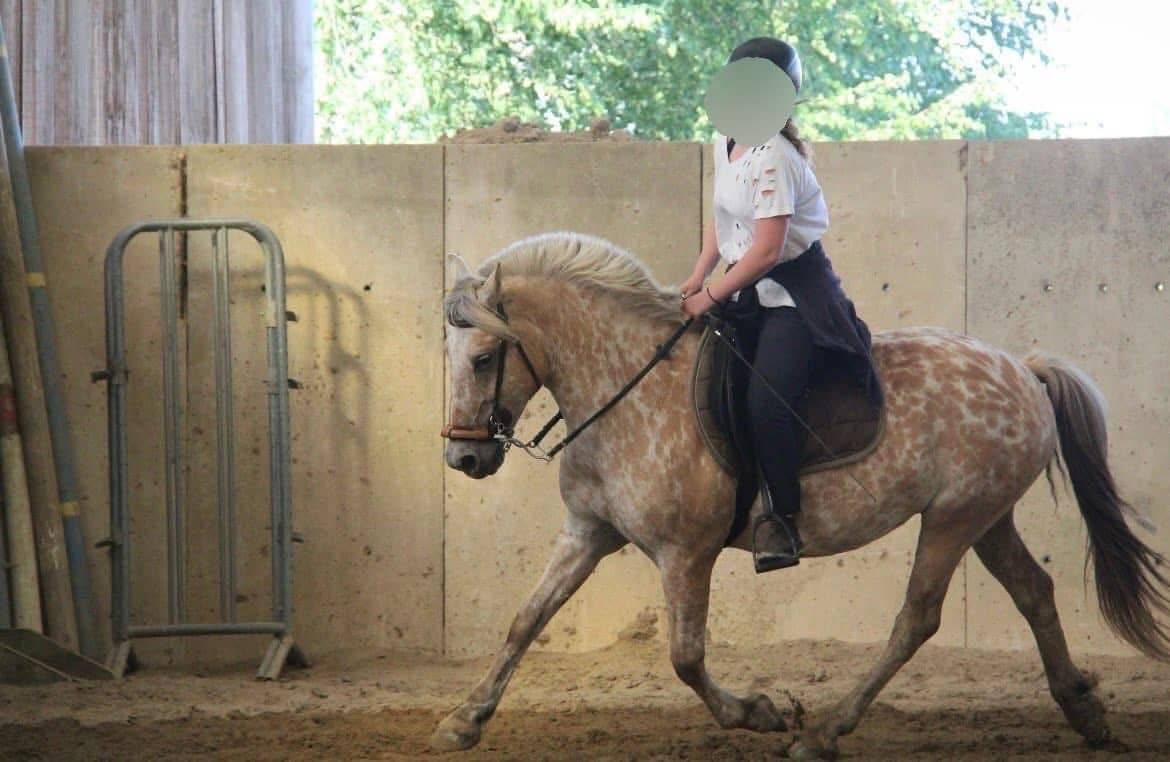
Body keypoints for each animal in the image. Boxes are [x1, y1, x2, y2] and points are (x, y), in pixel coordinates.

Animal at [431, 231, 1168, 759]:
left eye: (484, 358)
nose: (465, 457)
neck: (627, 388)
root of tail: (1023, 368)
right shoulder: (587, 533)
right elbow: (526, 620)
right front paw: (464, 720)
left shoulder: (686, 552)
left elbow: (685, 655)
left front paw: (758, 713)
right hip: (986, 516)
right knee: (1033, 593)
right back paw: (1085, 713)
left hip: (953, 519)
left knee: (918, 619)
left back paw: (824, 732)